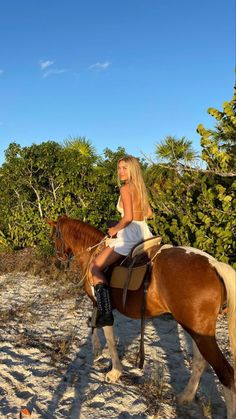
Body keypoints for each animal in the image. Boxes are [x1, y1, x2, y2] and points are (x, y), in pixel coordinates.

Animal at [48, 217, 236, 419]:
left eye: (54, 237)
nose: (58, 263)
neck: (92, 252)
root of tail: (214, 265)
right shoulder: (96, 303)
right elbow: (93, 324)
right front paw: (97, 350)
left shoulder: (101, 303)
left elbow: (108, 336)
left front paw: (115, 371)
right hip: (196, 329)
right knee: (200, 361)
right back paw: (186, 396)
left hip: (199, 332)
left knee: (226, 374)